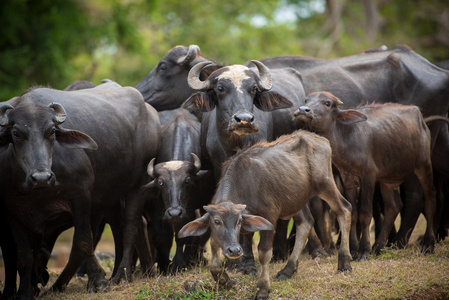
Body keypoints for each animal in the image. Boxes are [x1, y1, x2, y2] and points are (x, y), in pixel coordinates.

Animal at [0, 82, 160, 298]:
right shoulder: (12, 211)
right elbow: (23, 255)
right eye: (16, 133)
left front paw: (97, 281)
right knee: (119, 227)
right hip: (110, 196)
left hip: (139, 182)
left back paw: (122, 274)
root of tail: (151, 112)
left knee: (132, 225)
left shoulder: (81, 197)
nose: (41, 177)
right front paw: (25, 292)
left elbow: (83, 242)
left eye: (52, 131)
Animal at [177, 130, 352, 300]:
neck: (246, 183)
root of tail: (321, 140)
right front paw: (226, 281)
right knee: (306, 223)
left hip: (325, 185)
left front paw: (262, 288)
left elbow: (264, 253)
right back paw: (288, 270)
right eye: (217, 221)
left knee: (345, 209)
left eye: (239, 221)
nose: (235, 251)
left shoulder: (270, 217)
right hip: (296, 200)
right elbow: (214, 259)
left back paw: (344, 263)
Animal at [294, 91, 440, 258]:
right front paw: (352, 249)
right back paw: (378, 246)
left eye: (327, 103)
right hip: (387, 179)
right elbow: (352, 212)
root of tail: (419, 116)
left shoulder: (368, 177)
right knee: (393, 206)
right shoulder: (348, 180)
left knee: (430, 197)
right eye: (307, 100)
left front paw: (363, 251)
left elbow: (365, 213)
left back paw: (428, 244)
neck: (346, 139)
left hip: (423, 164)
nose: (303, 110)